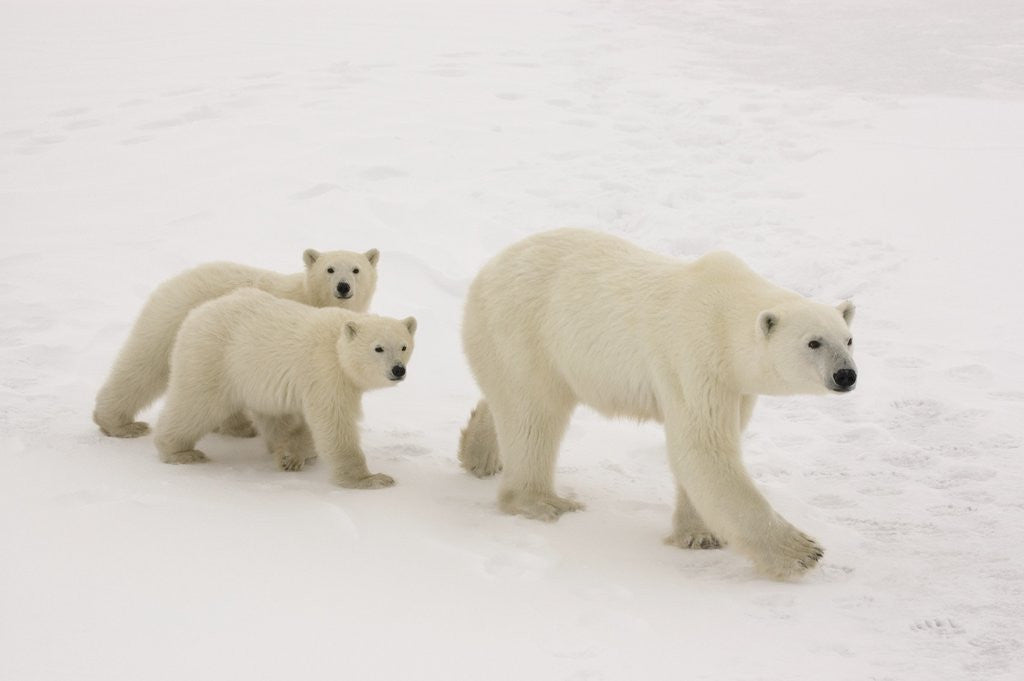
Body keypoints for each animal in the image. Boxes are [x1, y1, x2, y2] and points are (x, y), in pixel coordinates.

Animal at [93, 247, 380, 439]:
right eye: (329, 269)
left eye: (356, 269)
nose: (343, 286)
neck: (309, 297)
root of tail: (170, 283)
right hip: (173, 323)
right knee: (144, 365)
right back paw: (119, 424)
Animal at [153, 287, 416, 489]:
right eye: (378, 348)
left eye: (404, 346)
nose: (398, 370)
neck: (337, 344)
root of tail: (196, 313)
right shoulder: (326, 371)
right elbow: (334, 422)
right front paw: (371, 479)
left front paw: (291, 457)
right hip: (213, 358)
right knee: (196, 404)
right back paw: (179, 451)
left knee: (272, 415)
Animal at [458, 228, 857, 579]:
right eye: (813, 342)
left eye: (848, 339)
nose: (846, 375)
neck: (725, 315)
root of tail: (487, 269)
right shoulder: (695, 356)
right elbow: (703, 447)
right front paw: (802, 551)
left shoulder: (735, 386)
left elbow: (707, 448)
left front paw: (698, 534)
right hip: (524, 330)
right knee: (534, 414)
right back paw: (543, 500)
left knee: (509, 398)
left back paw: (480, 454)